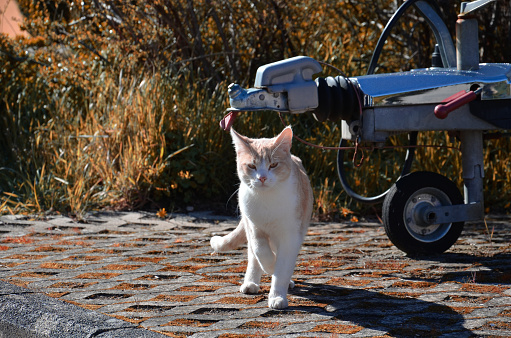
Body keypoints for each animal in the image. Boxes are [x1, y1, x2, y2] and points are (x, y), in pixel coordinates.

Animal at [210, 125, 314, 308]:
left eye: (273, 165)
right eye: (252, 166)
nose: (262, 178)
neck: (268, 200)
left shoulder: (290, 237)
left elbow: (282, 268)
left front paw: (277, 296)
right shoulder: (254, 228)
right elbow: (261, 252)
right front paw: (270, 266)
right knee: (253, 257)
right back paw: (251, 283)